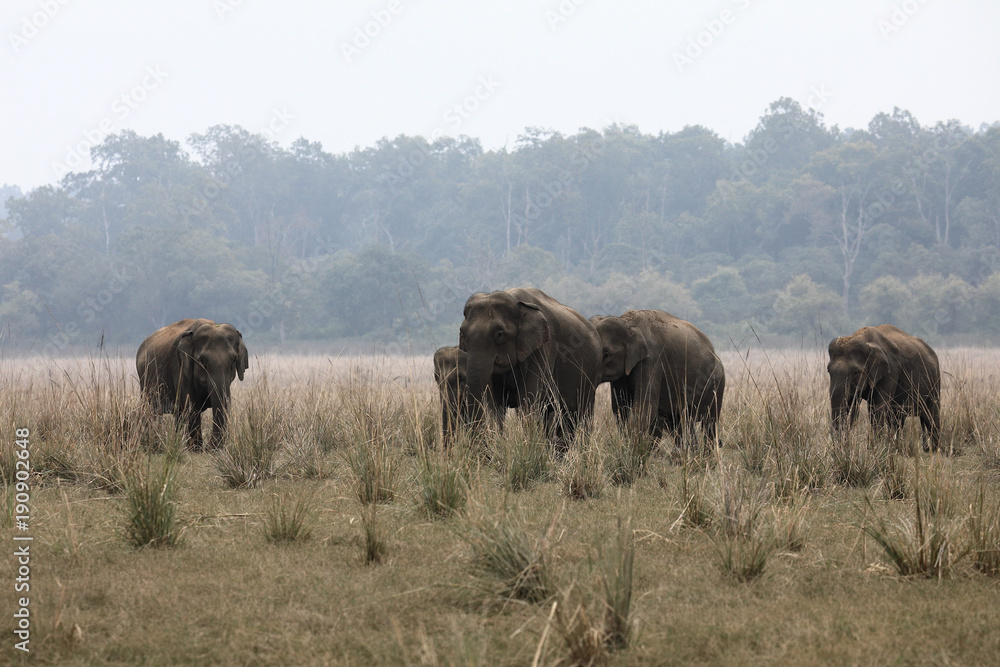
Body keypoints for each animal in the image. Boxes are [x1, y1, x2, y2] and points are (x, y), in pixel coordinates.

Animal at [136, 319, 249, 451]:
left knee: (177, 415)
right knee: (150, 410)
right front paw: (196, 449)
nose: (209, 448)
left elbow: (224, 402)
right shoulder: (181, 368)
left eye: (233, 360)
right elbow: (191, 405)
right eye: (202, 361)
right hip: (144, 382)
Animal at [458, 287, 602, 446]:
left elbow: (529, 403)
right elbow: (494, 406)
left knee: (581, 415)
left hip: (591, 376)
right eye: (462, 333)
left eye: (500, 334)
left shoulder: (542, 349)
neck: (514, 300)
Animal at [591, 310, 725, 446]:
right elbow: (620, 408)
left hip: (717, 384)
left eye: (606, 354)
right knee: (681, 424)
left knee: (709, 423)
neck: (627, 322)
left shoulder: (652, 359)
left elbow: (645, 408)